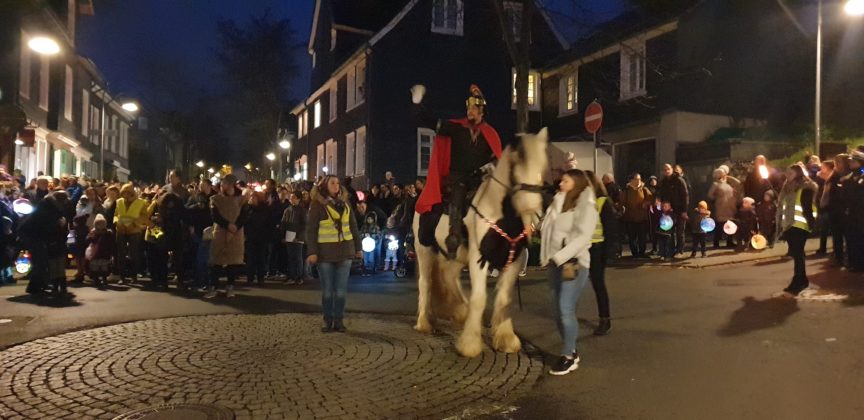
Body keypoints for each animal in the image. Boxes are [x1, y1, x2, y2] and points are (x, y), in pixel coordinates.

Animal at [412, 127, 548, 354]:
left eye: (543, 164)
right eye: (517, 162)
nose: (532, 208)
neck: (502, 214)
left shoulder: (515, 259)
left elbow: (504, 299)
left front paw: (506, 339)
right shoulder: (479, 258)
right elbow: (479, 298)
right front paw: (469, 344)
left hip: (455, 255)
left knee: (449, 277)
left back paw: (459, 311)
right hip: (424, 248)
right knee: (426, 282)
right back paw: (424, 323)